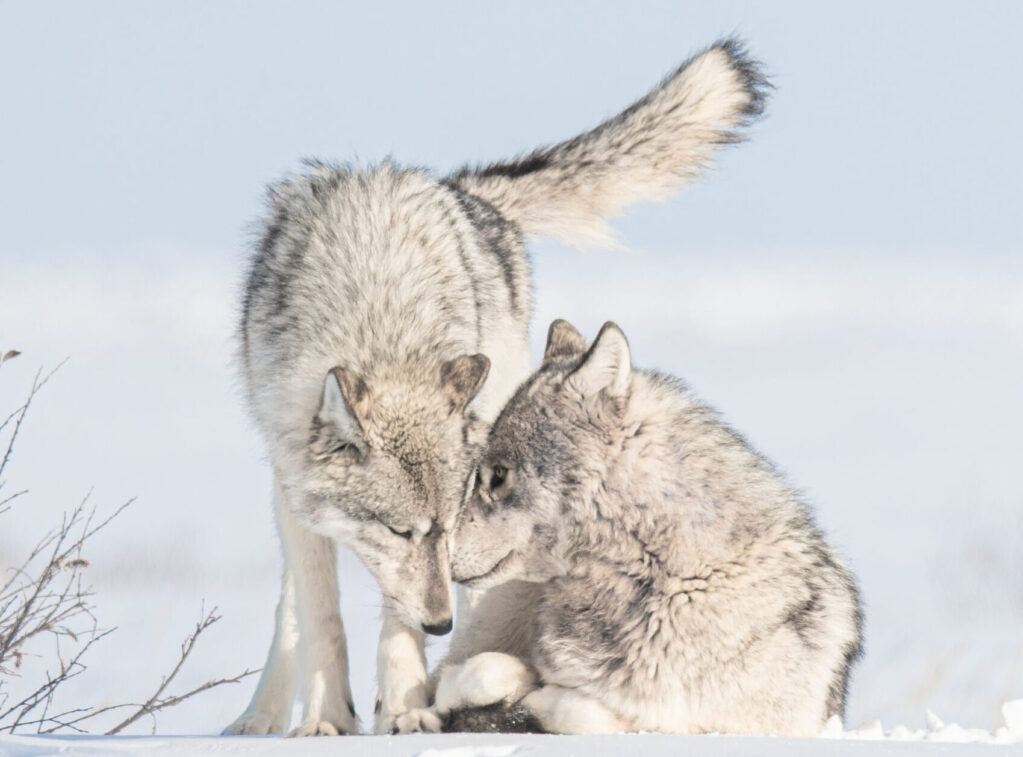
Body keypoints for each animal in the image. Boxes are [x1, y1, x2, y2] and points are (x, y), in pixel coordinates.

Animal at [225, 39, 769, 736]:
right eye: (399, 530)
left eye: (447, 522)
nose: (440, 621)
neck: (381, 325)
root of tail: (460, 189)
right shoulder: (300, 489)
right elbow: (321, 615)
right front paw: (326, 719)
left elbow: (396, 623)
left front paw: (406, 708)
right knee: (291, 604)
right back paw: (261, 714)